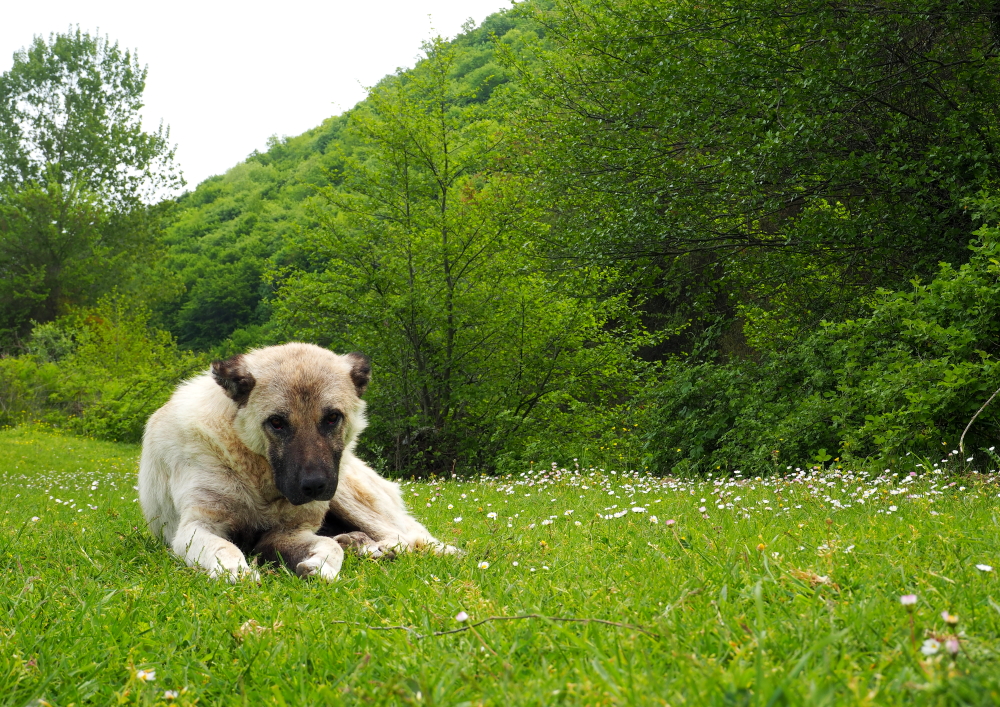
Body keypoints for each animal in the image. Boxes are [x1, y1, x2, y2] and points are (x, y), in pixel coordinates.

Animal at [139, 342, 456, 580]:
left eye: (332, 418)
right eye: (277, 422)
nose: (314, 486)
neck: (259, 478)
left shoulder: (287, 532)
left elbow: (328, 545)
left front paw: (323, 565)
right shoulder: (197, 527)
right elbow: (224, 548)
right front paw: (237, 572)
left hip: (346, 493)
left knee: (407, 537)